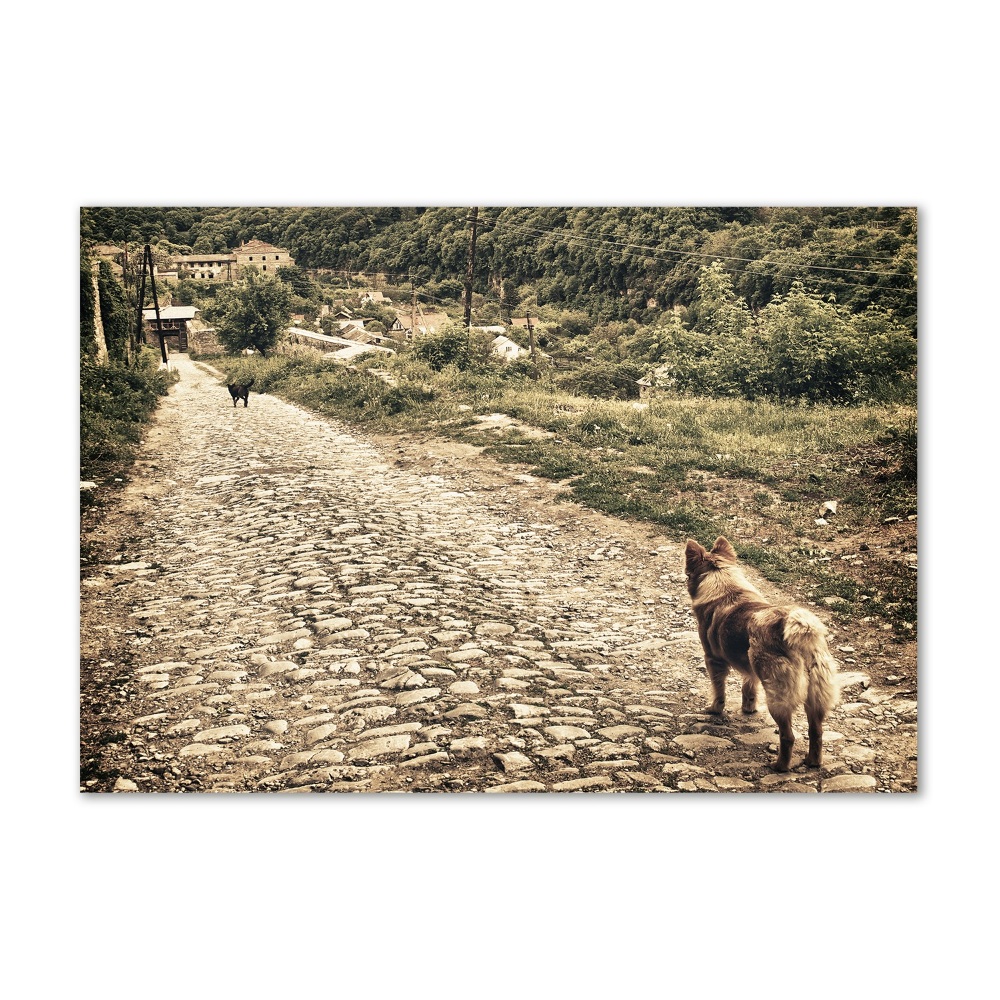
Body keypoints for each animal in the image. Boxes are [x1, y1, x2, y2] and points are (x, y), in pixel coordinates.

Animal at [684, 540, 840, 772]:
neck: (724, 584)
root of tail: (801, 630)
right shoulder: (749, 665)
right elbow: (748, 686)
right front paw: (748, 708)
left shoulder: (712, 659)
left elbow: (719, 691)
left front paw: (715, 710)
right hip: (815, 697)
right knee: (816, 732)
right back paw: (812, 761)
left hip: (778, 697)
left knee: (788, 736)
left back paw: (780, 766)